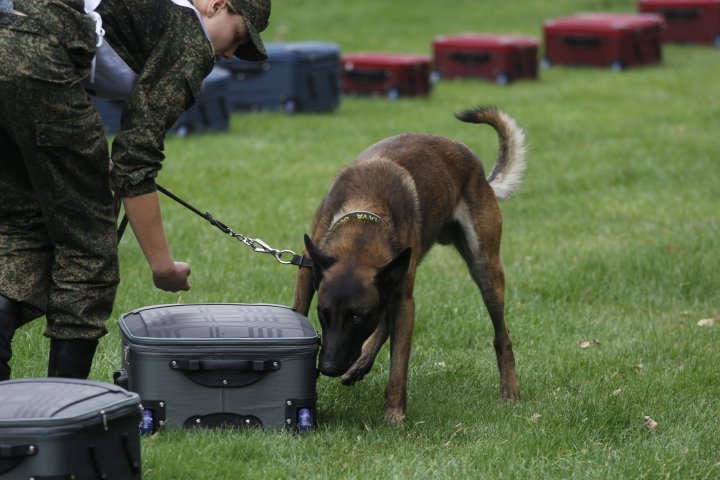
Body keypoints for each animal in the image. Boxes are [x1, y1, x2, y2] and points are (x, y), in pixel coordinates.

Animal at [294, 106, 528, 424]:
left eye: (356, 317)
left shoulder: (405, 301)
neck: (363, 227)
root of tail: (476, 167)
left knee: (502, 336)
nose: (328, 367)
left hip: (485, 269)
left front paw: (394, 416)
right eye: (323, 313)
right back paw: (361, 363)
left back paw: (509, 391)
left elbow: (399, 365)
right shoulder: (308, 273)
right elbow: (299, 311)